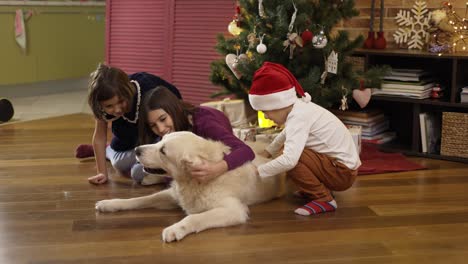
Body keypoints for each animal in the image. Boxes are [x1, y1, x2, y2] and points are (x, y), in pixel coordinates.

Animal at [95, 131, 286, 242]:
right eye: (160, 140)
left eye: (163, 150)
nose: (136, 150)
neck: (192, 181)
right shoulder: (172, 195)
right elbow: (141, 199)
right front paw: (109, 203)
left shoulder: (234, 210)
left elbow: (194, 218)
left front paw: (175, 229)